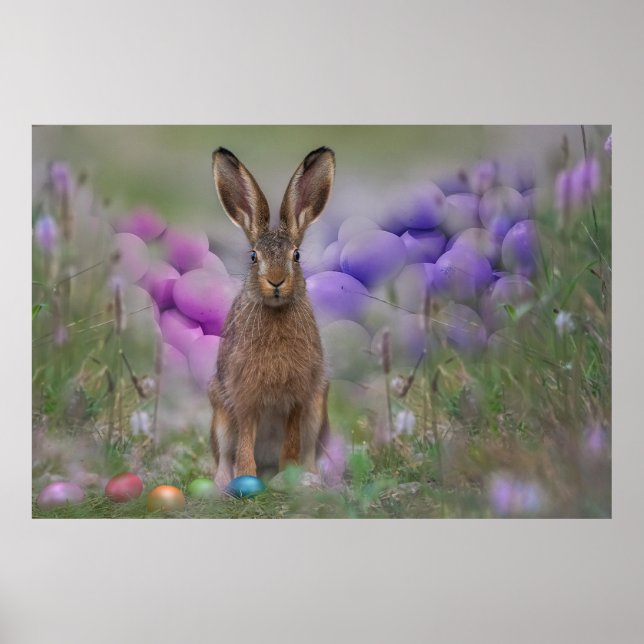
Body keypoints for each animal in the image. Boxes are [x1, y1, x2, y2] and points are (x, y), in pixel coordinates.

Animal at [208, 146, 335, 491]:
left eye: (297, 256)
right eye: (254, 257)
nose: (276, 281)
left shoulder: (299, 398)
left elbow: (291, 442)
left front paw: (287, 477)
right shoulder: (244, 397)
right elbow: (244, 441)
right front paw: (245, 476)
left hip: (317, 410)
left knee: (309, 450)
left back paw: (309, 478)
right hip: (219, 410)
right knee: (223, 452)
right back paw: (223, 483)